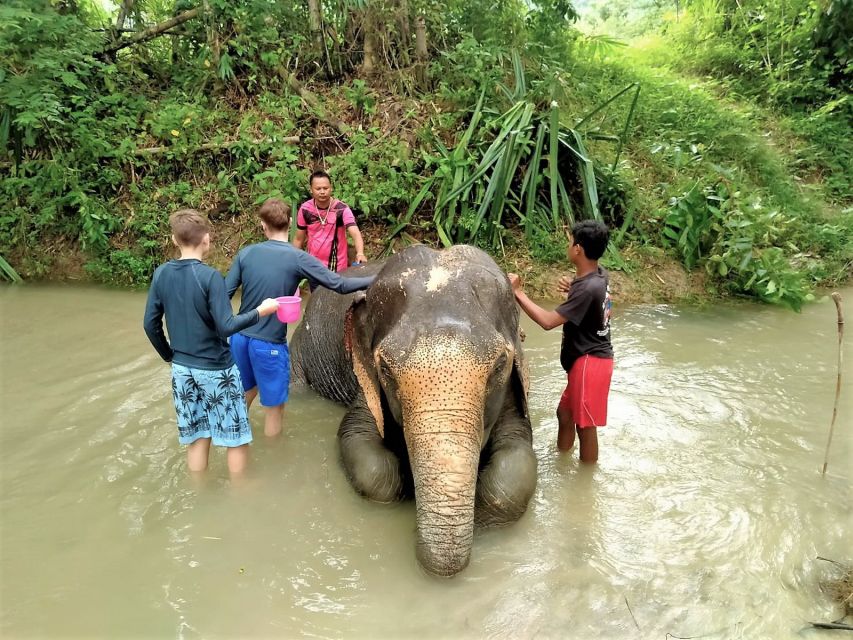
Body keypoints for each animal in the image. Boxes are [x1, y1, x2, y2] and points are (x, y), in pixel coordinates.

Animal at [290, 244, 536, 576]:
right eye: (385, 369)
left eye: (499, 364)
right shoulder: (365, 382)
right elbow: (360, 445)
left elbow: (517, 461)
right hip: (298, 350)